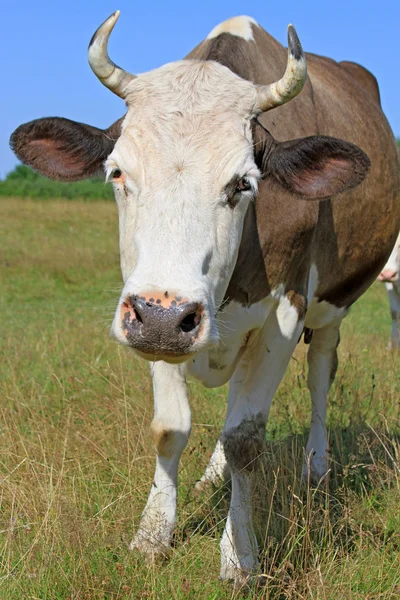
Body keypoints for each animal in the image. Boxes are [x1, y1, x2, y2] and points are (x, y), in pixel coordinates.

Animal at [9, 10, 400, 584]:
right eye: (118, 172)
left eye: (243, 183)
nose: (166, 318)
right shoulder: (153, 312)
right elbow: (171, 428)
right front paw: (152, 535)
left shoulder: (284, 313)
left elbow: (246, 441)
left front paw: (239, 555)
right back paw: (213, 476)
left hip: (333, 308)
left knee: (320, 376)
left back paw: (316, 466)